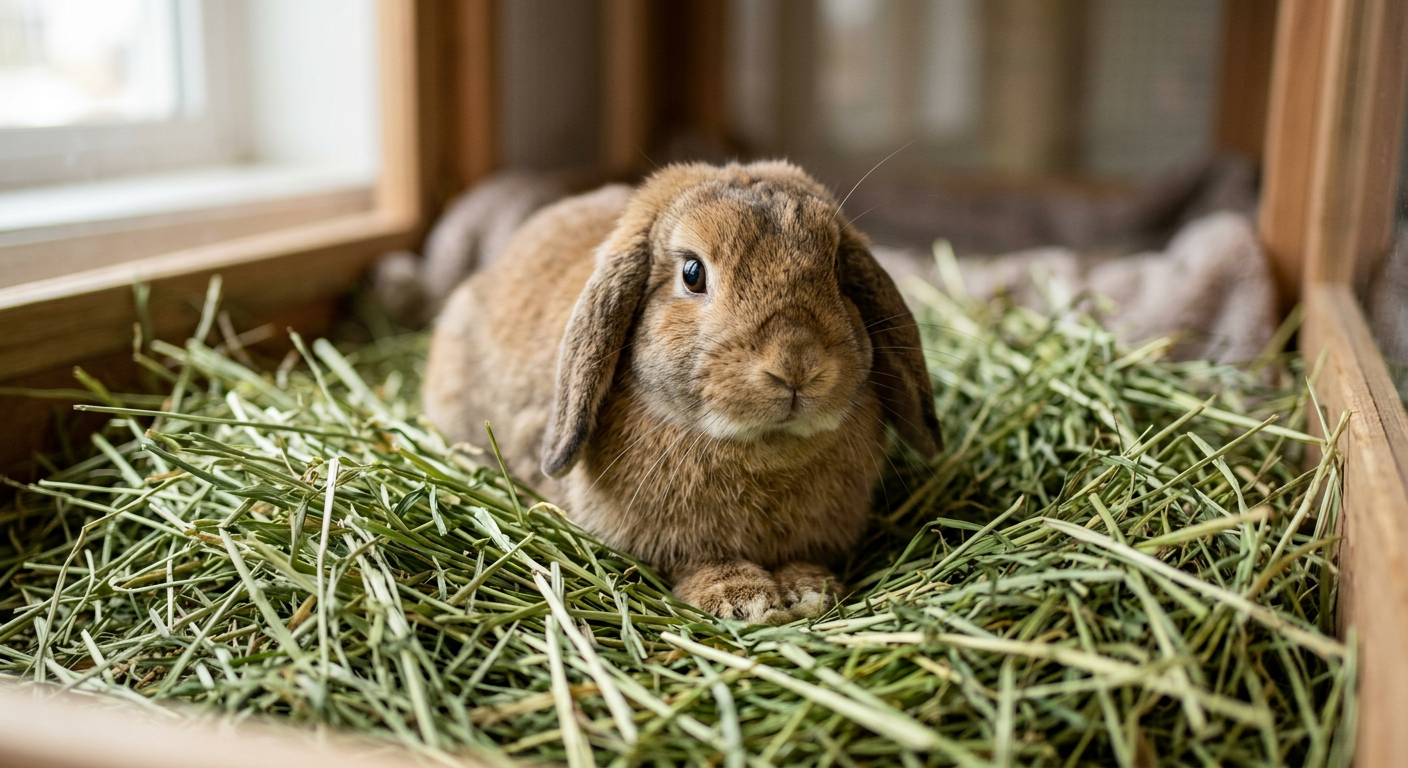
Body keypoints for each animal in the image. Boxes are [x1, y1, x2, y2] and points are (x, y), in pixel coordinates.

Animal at [423, 161, 943, 623]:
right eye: (693, 273)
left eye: (836, 269)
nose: (795, 366)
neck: (764, 448)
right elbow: (702, 564)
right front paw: (744, 600)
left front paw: (811, 590)